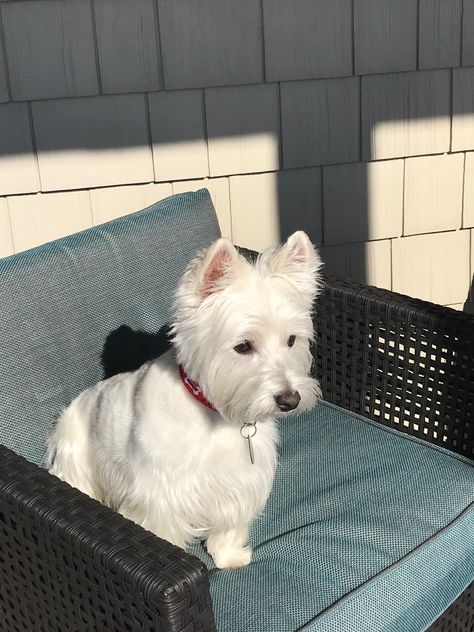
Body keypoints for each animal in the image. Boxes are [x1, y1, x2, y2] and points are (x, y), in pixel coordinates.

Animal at [48, 231, 322, 568]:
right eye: (243, 346)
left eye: (291, 340)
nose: (290, 399)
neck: (217, 417)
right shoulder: (158, 497)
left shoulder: (238, 483)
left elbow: (228, 526)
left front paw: (229, 557)